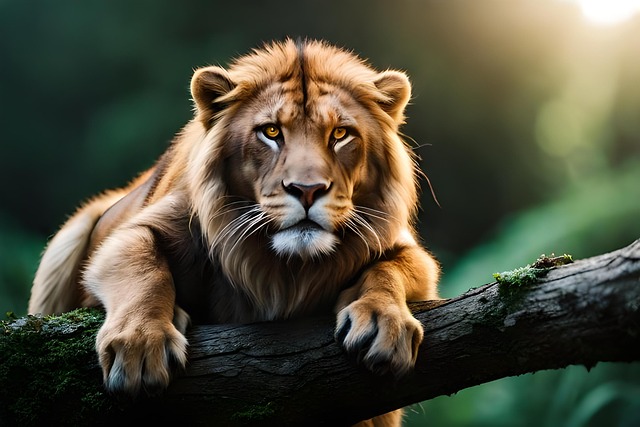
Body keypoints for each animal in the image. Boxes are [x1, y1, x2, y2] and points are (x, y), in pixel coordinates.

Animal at [28, 39, 439, 426]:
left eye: (340, 134)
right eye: (271, 132)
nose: (307, 190)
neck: (287, 269)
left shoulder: (405, 249)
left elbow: (391, 269)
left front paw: (384, 323)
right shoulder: (136, 230)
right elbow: (143, 267)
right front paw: (140, 345)